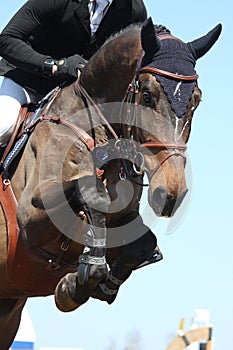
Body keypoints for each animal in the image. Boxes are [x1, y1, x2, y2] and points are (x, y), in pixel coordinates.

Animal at [0, 17, 221, 348]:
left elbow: (142, 243)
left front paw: (92, 285)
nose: (170, 193)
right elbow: (90, 193)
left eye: (196, 100)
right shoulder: (30, 217)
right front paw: (77, 281)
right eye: (146, 96)